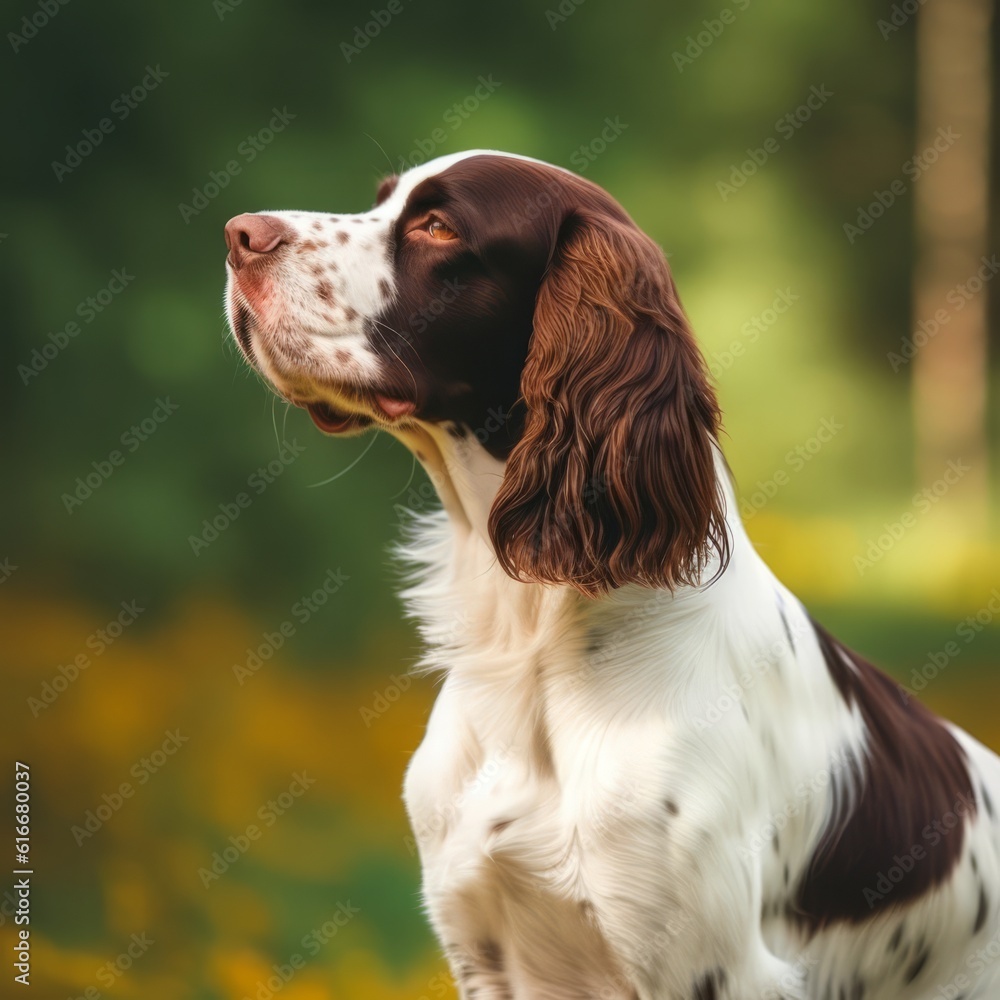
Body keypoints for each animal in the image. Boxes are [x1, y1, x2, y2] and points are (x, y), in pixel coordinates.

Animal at [225, 150, 1000, 1000]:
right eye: (384, 201)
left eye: (438, 226)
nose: (239, 233)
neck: (531, 636)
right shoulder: (481, 947)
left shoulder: (709, 966)